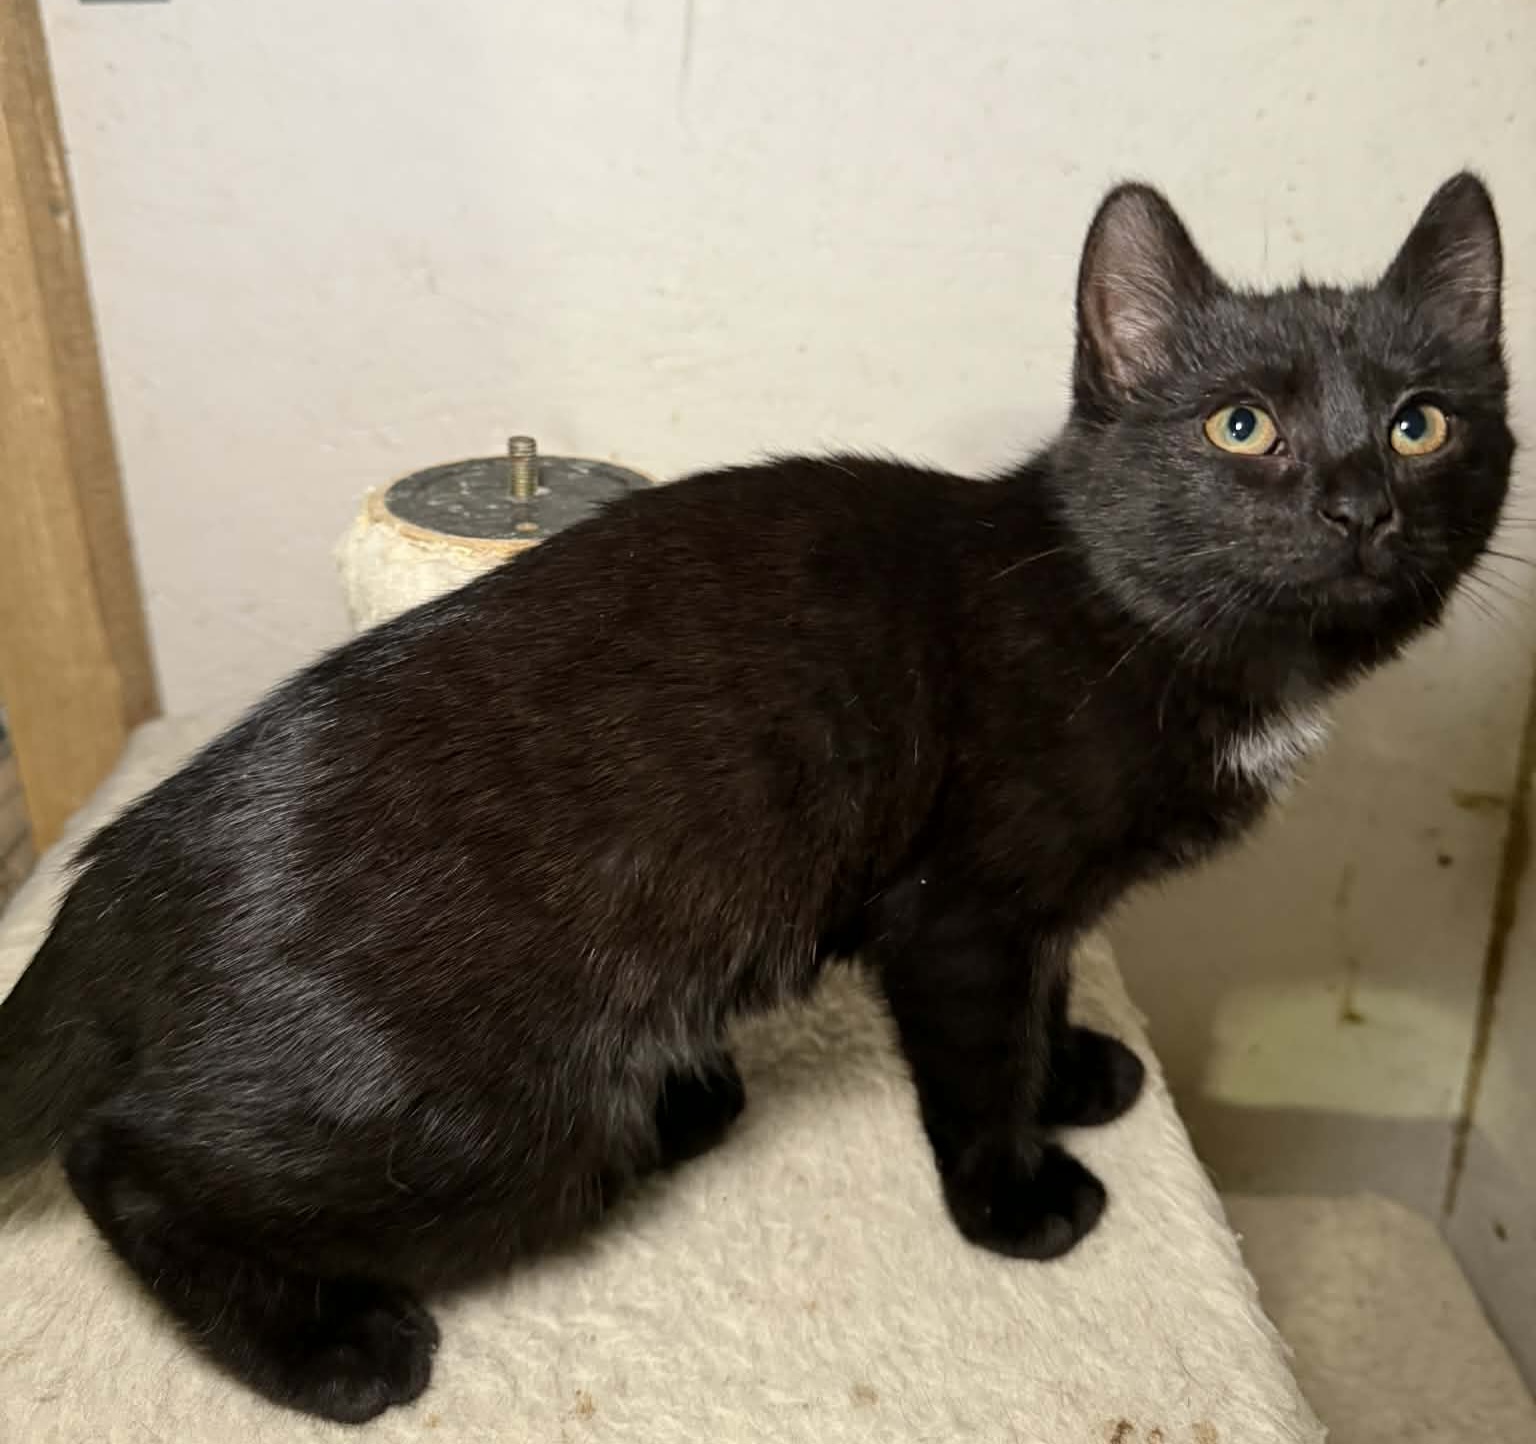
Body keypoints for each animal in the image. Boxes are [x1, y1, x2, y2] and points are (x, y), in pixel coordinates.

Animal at [0, 173, 1511, 1423]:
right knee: (121, 1160)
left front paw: (1076, 1071)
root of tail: (116, 881)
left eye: (1420, 425)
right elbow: (981, 1057)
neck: (1155, 627)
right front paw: (1015, 1196)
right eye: (1241, 426)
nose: (1360, 506)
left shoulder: (1041, 911)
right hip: (493, 1128)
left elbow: (1049, 993)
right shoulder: (957, 914)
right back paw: (329, 1350)